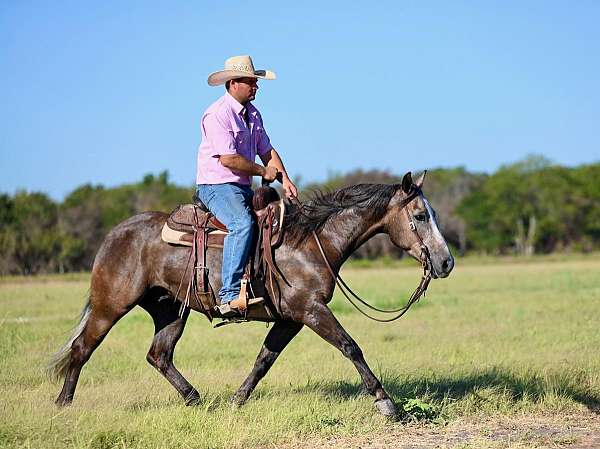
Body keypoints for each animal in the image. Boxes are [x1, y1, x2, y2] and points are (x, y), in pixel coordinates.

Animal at [50, 170, 454, 414]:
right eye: (420, 216)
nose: (446, 262)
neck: (312, 241)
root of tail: (115, 234)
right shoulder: (311, 311)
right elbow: (350, 346)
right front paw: (386, 403)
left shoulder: (291, 319)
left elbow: (264, 360)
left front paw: (237, 399)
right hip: (111, 305)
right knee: (82, 348)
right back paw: (63, 404)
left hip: (170, 310)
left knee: (158, 355)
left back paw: (195, 399)